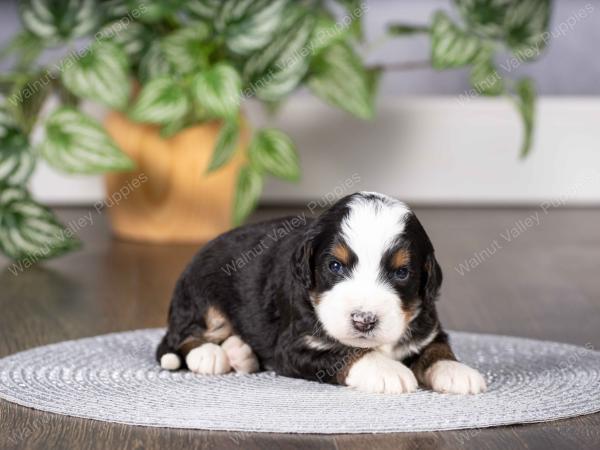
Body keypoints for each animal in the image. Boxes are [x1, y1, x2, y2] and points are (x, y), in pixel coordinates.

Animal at [157, 192, 486, 394]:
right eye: (335, 265)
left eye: (401, 272)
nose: (364, 320)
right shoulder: (295, 345)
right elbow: (347, 352)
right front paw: (387, 370)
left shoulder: (428, 326)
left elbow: (437, 348)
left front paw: (456, 371)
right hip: (199, 295)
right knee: (182, 336)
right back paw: (209, 354)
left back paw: (240, 353)